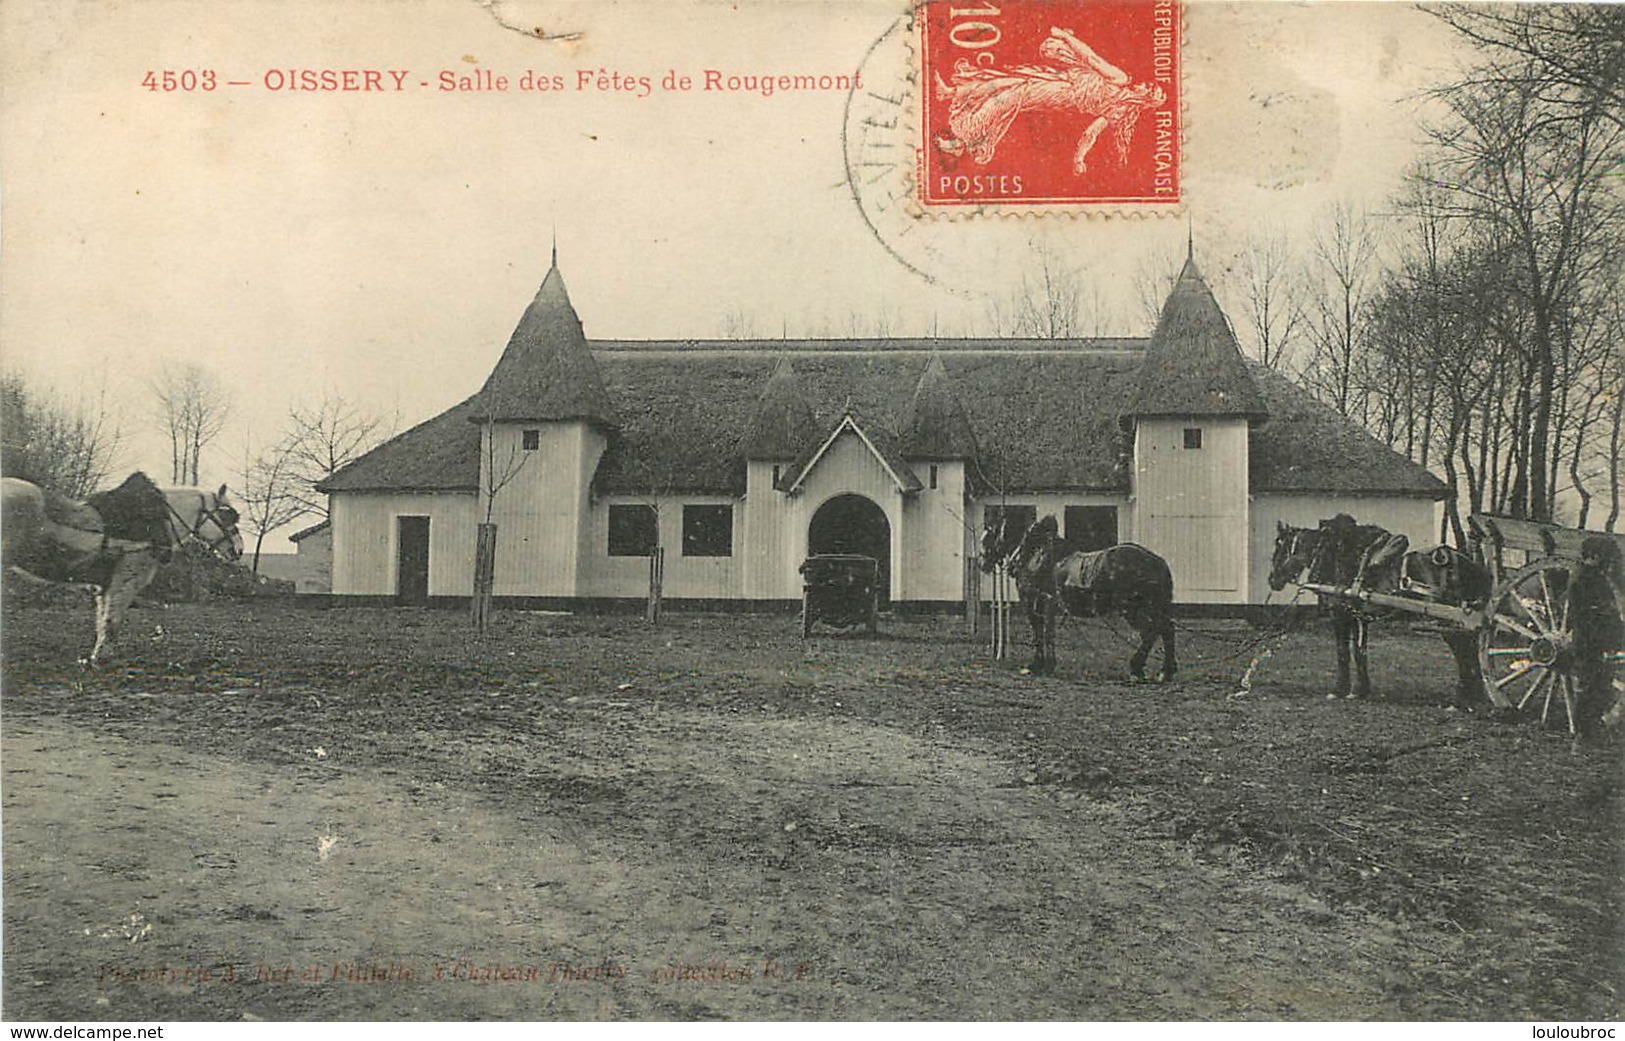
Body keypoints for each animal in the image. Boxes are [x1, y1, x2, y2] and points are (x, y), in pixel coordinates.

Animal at [2, 467, 243, 656]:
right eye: (228, 515)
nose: (239, 550)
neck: (157, 521)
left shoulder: (106, 584)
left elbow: (104, 620)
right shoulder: (126, 579)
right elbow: (112, 620)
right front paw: (101, 658)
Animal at [981, 513, 1176, 682]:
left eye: (988, 537)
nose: (982, 564)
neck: (1036, 558)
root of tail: (1158, 562)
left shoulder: (1038, 604)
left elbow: (1043, 634)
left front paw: (1041, 666)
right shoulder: (1043, 606)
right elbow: (1044, 634)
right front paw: (1041, 665)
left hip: (1132, 609)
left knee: (1151, 631)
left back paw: (1138, 668)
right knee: (1164, 630)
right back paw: (1165, 672)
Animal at [1267, 513, 1495, 701]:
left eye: (1280, 547)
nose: (1272, 580)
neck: (1333, 556)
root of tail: (1462, 561)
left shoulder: (1340, 614)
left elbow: (1343, 652)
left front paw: (1340, 689)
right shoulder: (1359, 615)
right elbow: (1359, 652)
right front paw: (1360, 690)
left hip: (1446, 618)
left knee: (1462, 647)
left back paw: (1464, 696)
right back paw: (1475, 694)